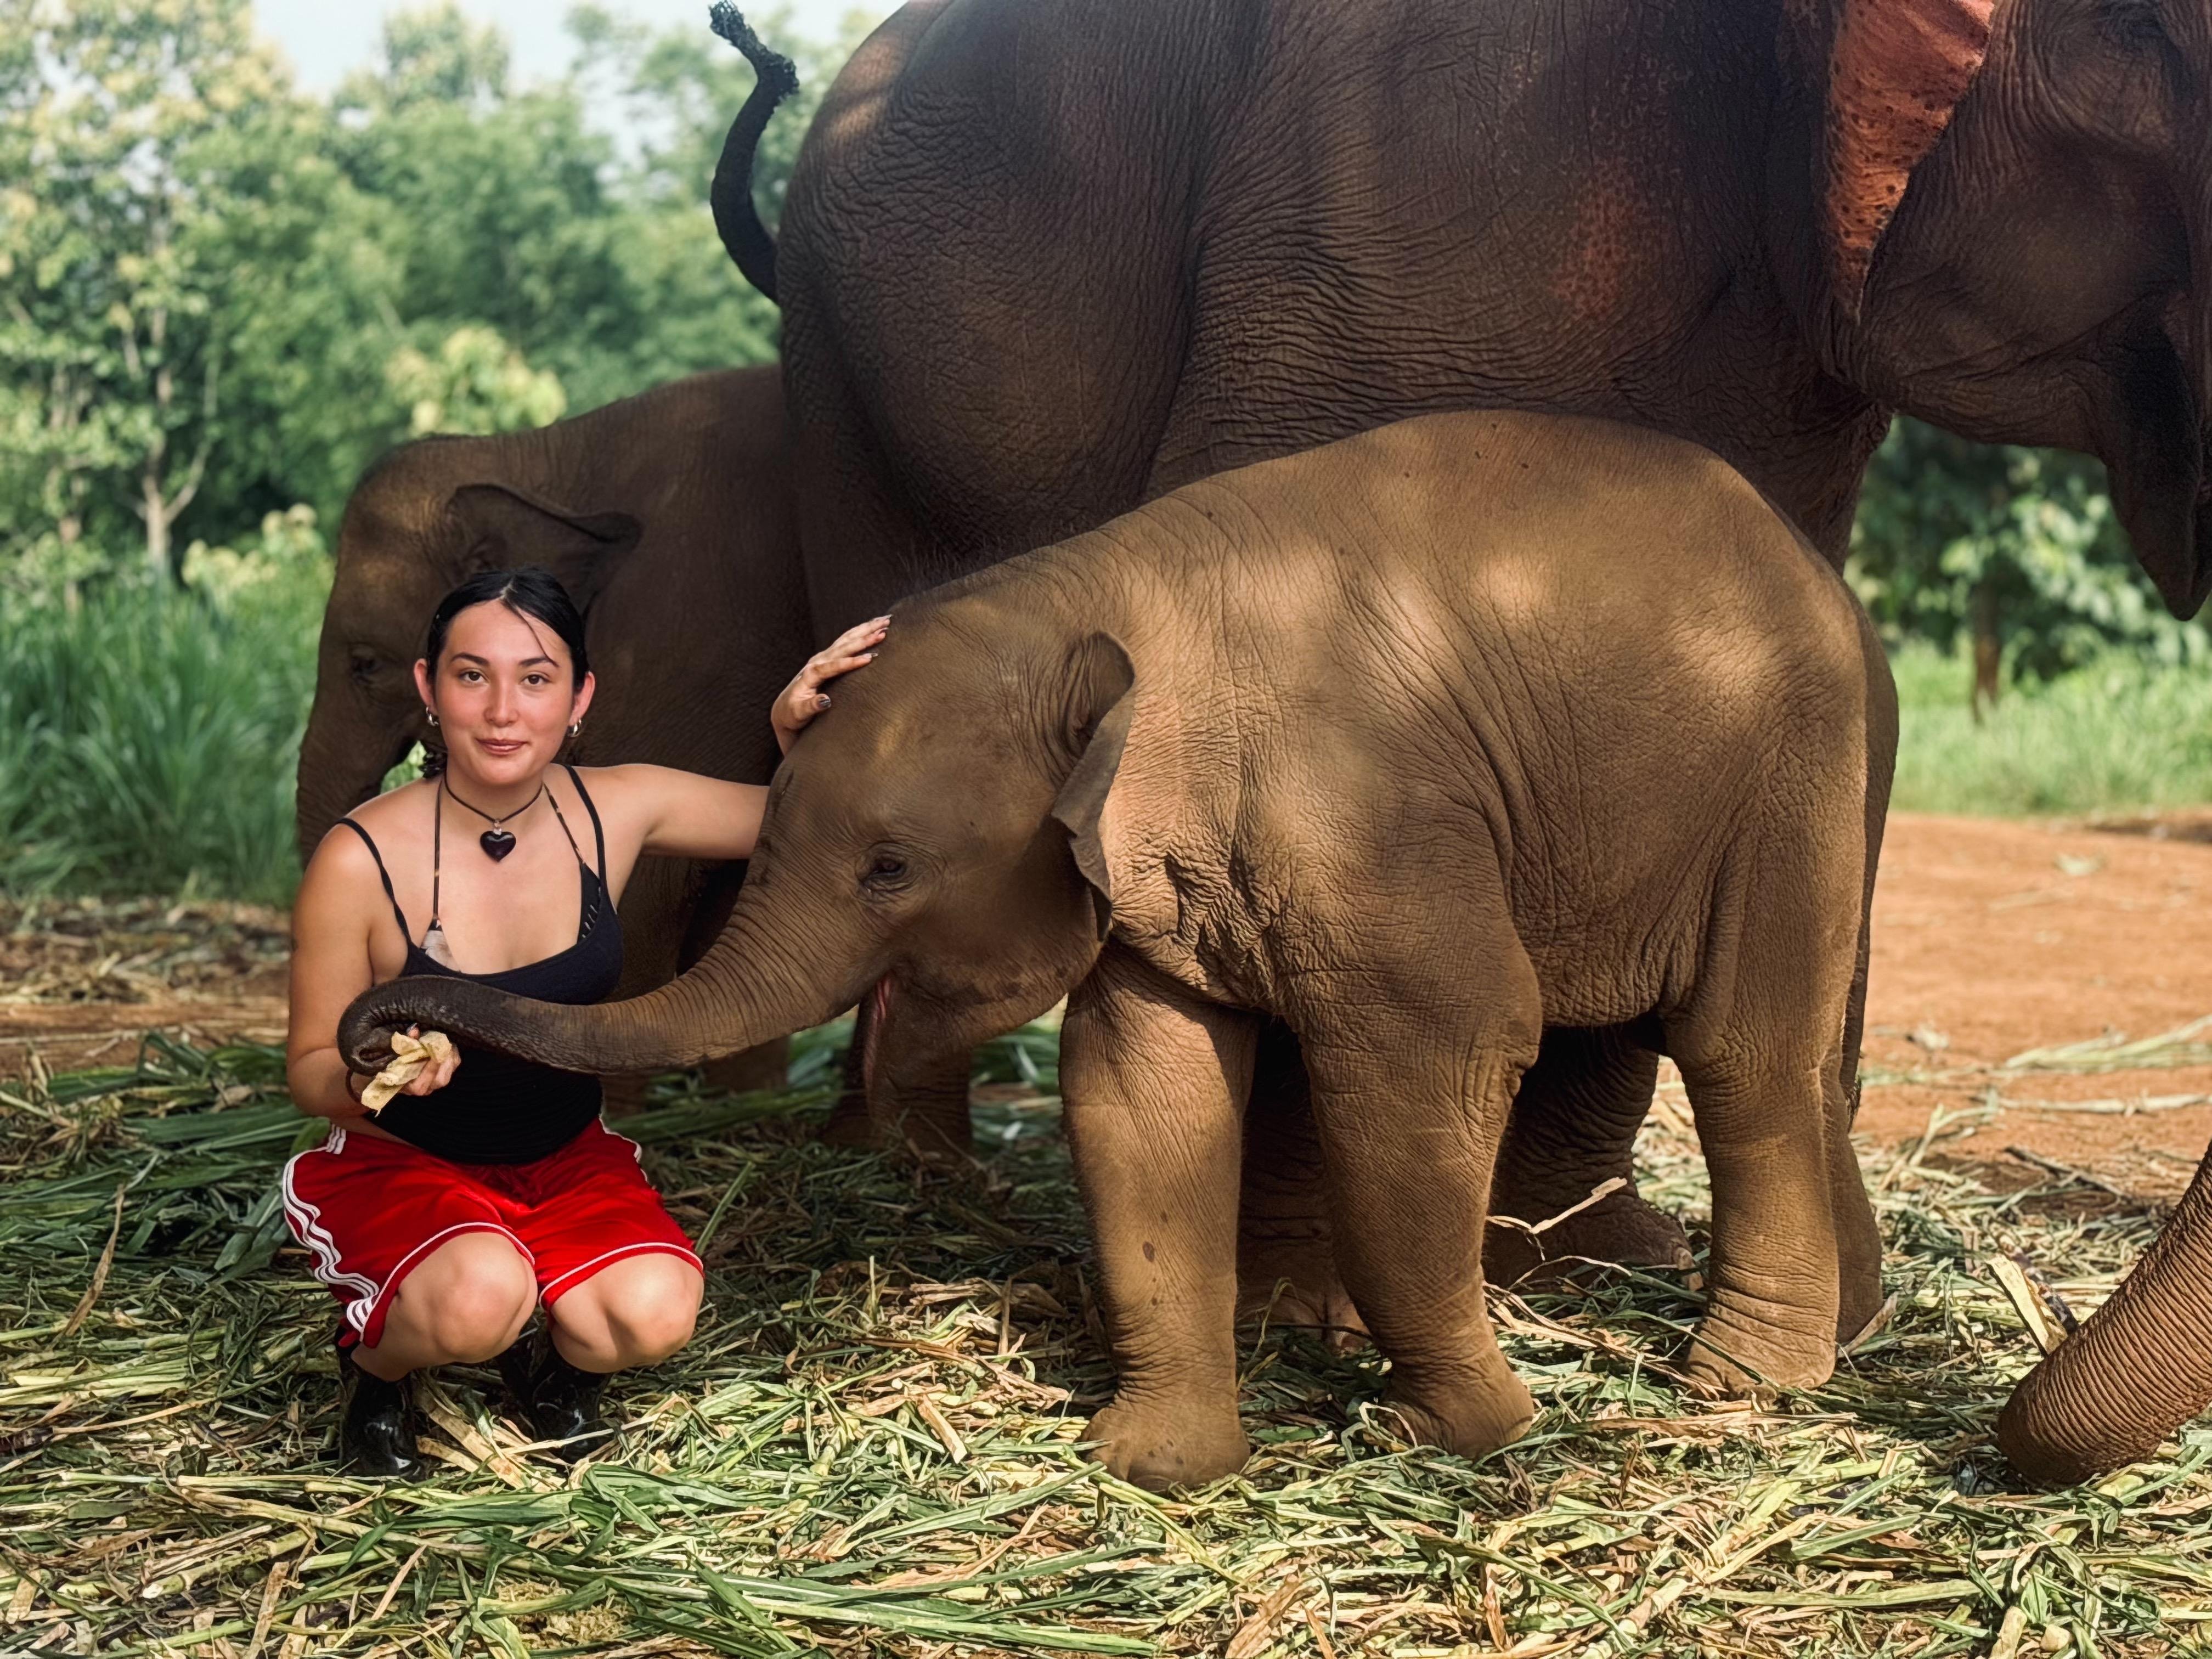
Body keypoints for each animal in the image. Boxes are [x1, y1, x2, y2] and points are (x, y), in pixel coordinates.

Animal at [297, 366, 813, 1103]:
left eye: (366, 663)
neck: (548, 451)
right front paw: (748, 1100)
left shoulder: (691, 644)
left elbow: (653, 889)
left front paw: (623, 1108)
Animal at [339, 410, 1899, 1489]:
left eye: (891, 870)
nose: (377, 1034)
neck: (1107, 591)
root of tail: (1827, 583)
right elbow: (1142, 1095)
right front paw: (1154, 1466)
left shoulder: (1379, 817)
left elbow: (1447, 1046)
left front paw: (1444, 1430)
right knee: (1815, 1060)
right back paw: (1847, 1338)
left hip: (1787, 771)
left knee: (1745, 1052)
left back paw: (1740, 1386)